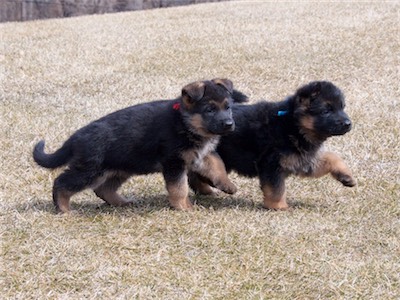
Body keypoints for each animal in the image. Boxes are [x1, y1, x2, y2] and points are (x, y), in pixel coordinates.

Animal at [33, 78, 238, 212]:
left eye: (227, 107)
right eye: (209, 109)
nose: (229, 124)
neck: (184, 122)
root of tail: (76, 136)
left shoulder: (201, 155)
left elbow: (217, 166)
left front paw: (228, 185)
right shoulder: (174, 163)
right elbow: (179, 188)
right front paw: (184, 207)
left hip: (118, 169)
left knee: (103, 189)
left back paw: (121, 202)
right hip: (89, 171)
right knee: (61, 182)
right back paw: (63, 208)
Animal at [191, 81, 356, 210]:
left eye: (342, 107)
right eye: (326, 111)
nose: (348, 124)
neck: (293, 124)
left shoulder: (302, 159)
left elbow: (331, 157)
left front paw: (346, 176)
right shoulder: (271, 162)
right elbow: (276, 188)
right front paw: (278, 207)